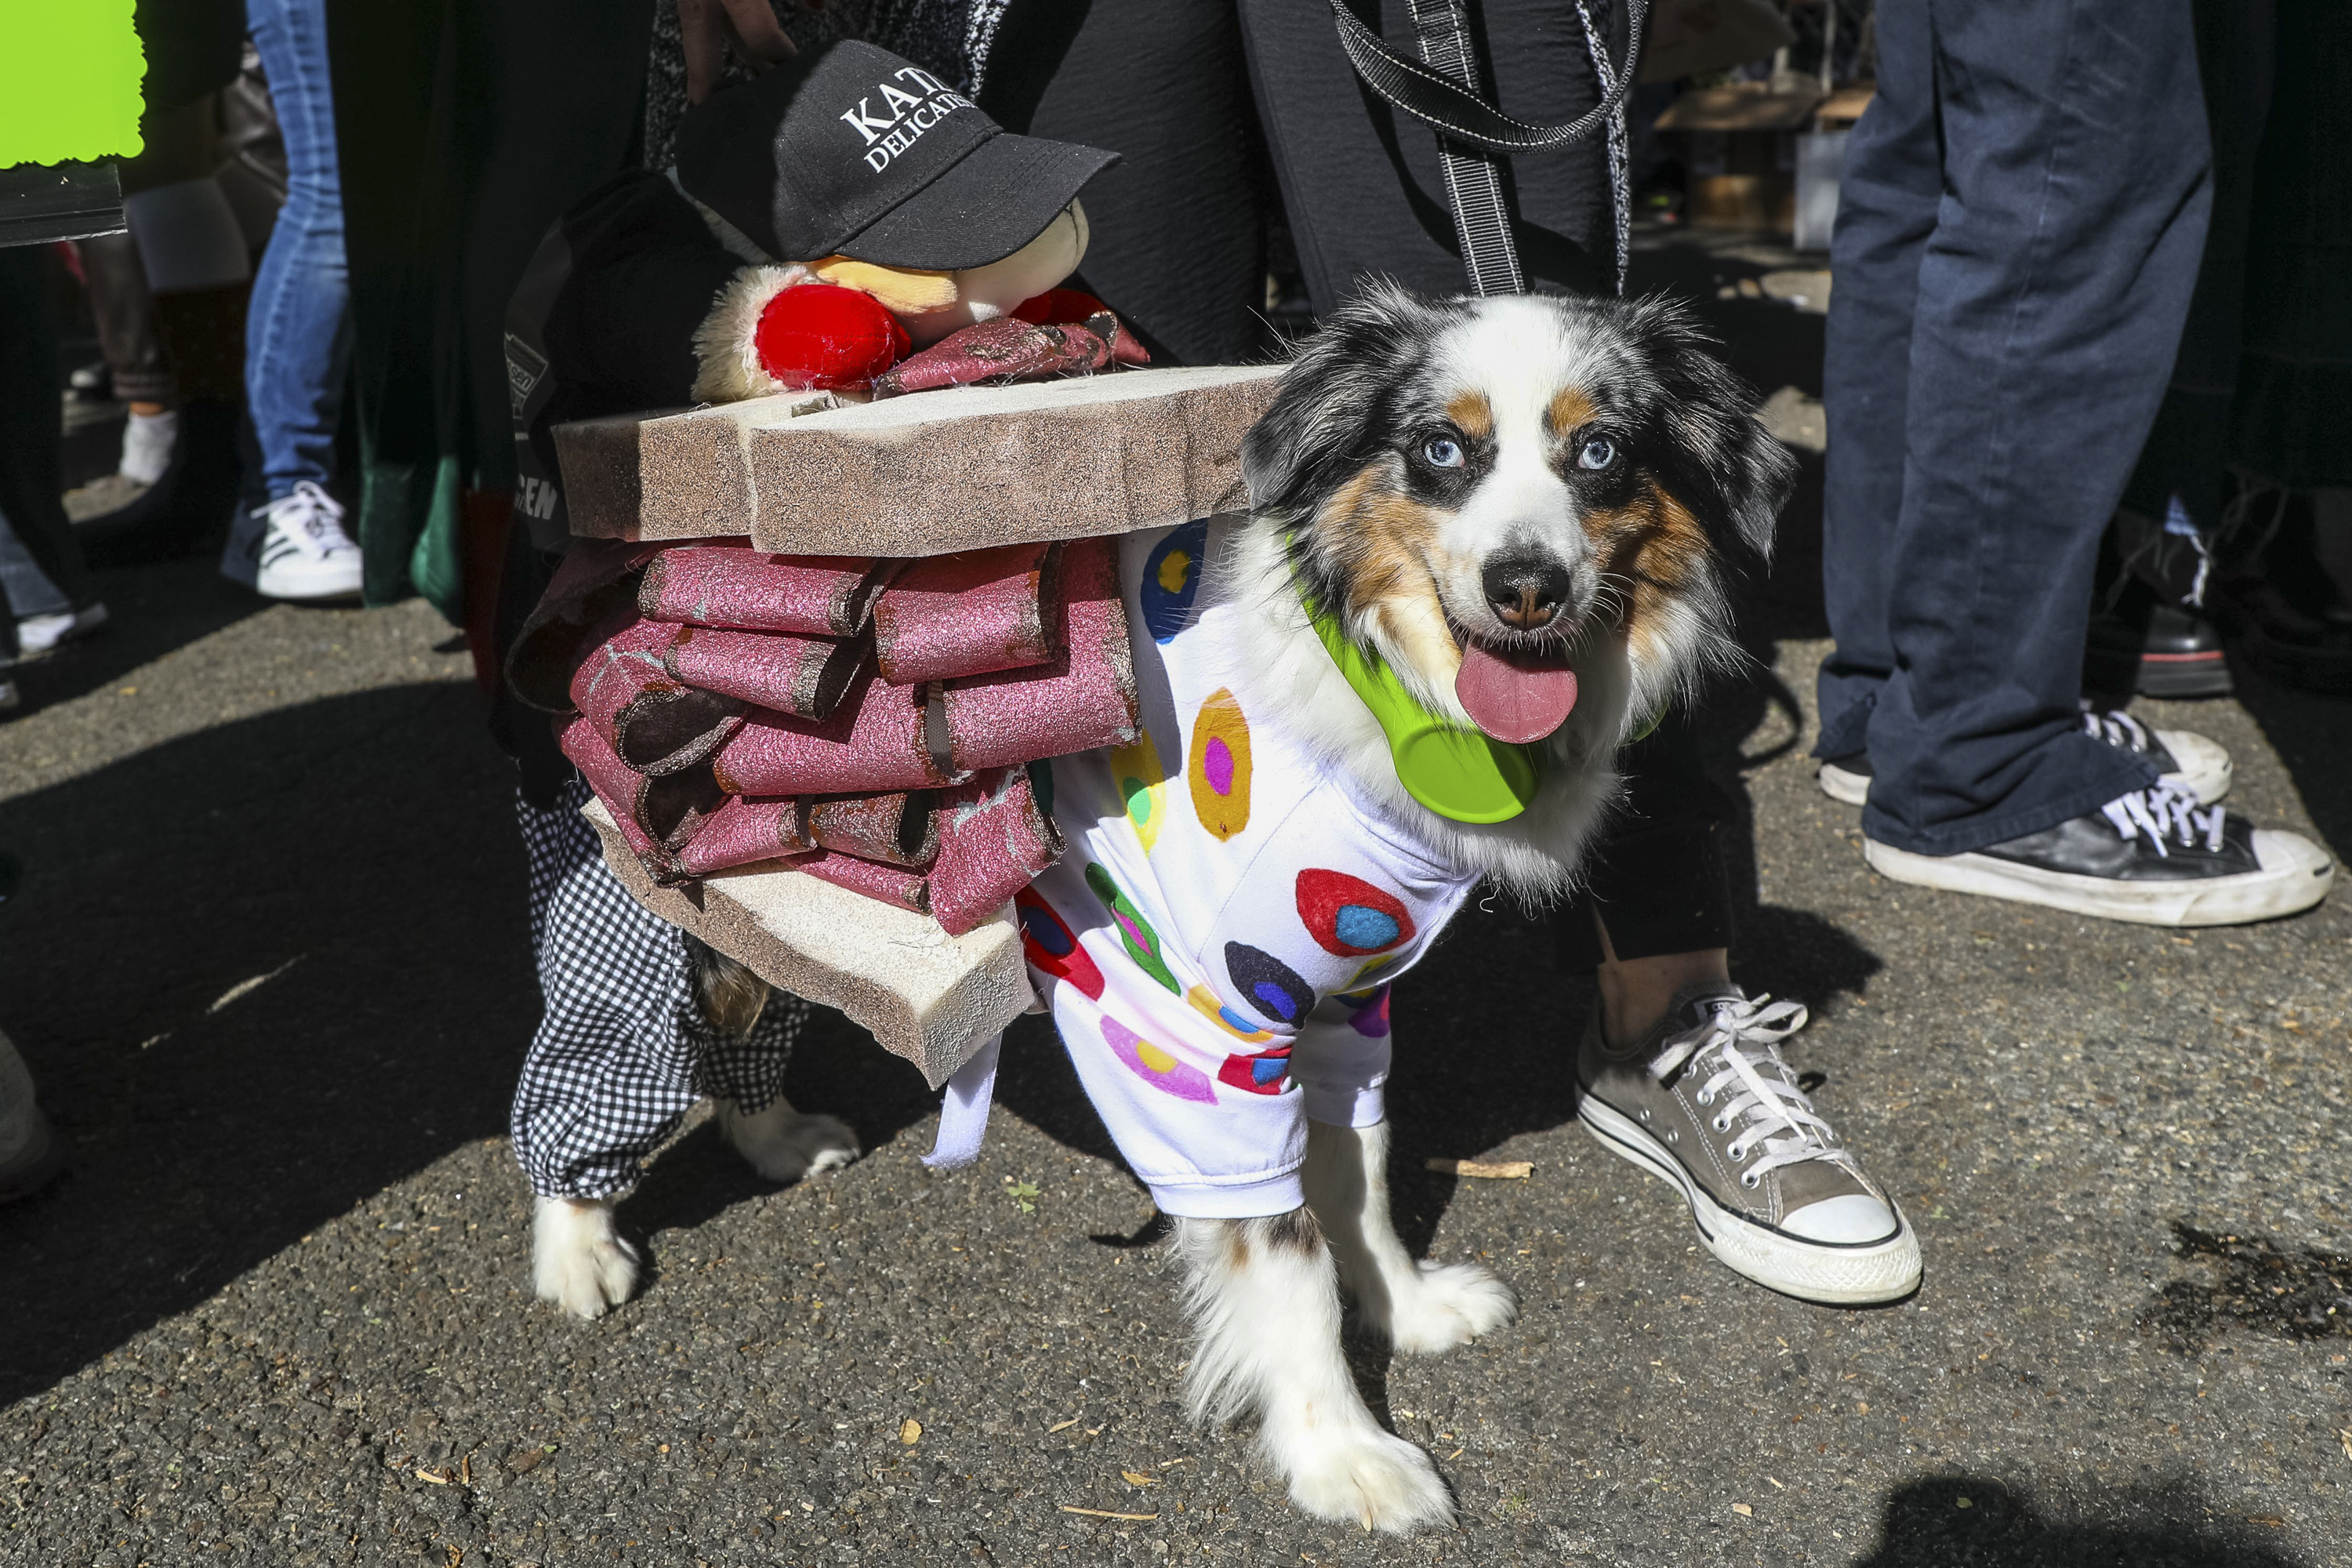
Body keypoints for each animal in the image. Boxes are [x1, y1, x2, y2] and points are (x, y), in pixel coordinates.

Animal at [534, 285, 1788, 1533]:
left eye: (1602, 452)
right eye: (1442, 449)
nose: (1529, 585)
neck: (1377, 689)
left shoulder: (1345, 1002)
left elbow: (1362, 1176)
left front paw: (1407, 1306)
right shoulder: (1200, 1038)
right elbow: (1288, 1260)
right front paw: (1344, 1454)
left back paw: (774, 1135)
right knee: (606, 1048)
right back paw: (574, 1248)